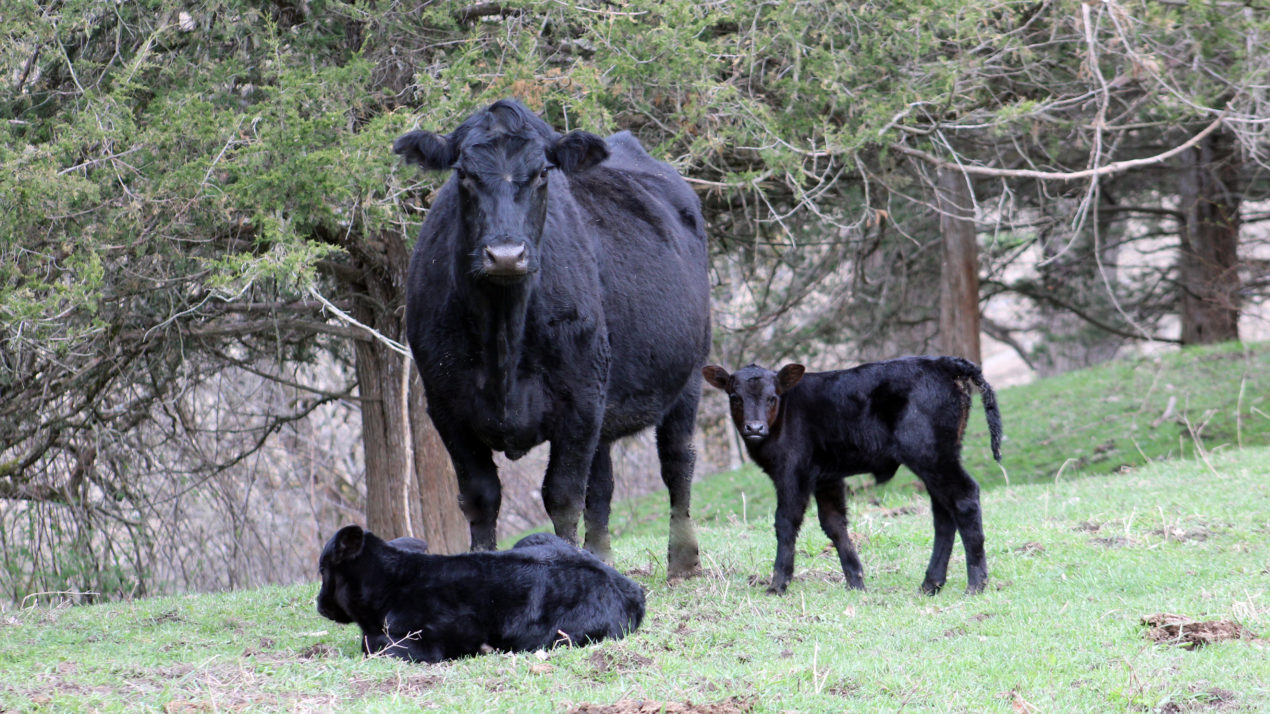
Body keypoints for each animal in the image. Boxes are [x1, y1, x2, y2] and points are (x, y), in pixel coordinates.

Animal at [317, 520, 645, 660]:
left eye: (322, 570)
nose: (318, 603)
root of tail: (630, 589)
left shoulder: (430, 642)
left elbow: (373, 646)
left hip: (555, 637)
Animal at [393, 98, 711, 579]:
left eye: (543, 172)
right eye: (463, 173)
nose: (506, 255)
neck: (503, 336)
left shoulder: (578, 402)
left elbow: (562, 496)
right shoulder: (447, 407)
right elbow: (482, 496)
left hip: (688, 375)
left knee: (678, 462)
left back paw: (683, 561)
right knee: (603, 483)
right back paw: (602, 557)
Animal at [706, 355, 1000, 594]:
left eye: (772, 397)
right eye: (735, 397)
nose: (754, 428)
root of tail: (945, 362)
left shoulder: (792, 471)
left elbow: (786, 522)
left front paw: (777, 585)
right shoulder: (826, 476)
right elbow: (834, 523)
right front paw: (855, 581)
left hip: (930, 454)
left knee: (963, 498)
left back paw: (976, 584)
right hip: (935, 458)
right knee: (943, 513)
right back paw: (930, 584)